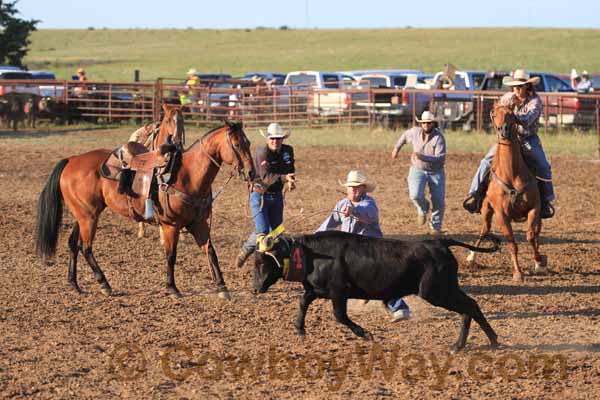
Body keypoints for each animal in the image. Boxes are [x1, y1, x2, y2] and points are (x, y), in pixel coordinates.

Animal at [35, 120, 255, 298]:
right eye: (237, 144)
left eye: (249, 143)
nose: (252, 172)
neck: (187, 175)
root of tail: (72, 159)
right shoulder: (171, 225)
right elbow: (171, 255)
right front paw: (172, 288)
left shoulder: (198, 224)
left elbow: (210, 252)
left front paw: (222, 287)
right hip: (89, 217)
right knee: (85, 247)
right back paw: (105, 284)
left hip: (83, 215)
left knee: (73, 244)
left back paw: (75, 285)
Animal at [466, 104, 548, 282]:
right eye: (494, 113)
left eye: (512, 114)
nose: (503, 129)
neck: (511, 173)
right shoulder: (501, 215)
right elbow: (512, 243)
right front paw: (518, 273)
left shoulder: (534, 208)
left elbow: (531, 236)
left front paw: (540, 261)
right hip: (486, 210)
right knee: (484, 231)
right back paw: (471, 257)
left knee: (537, 233)